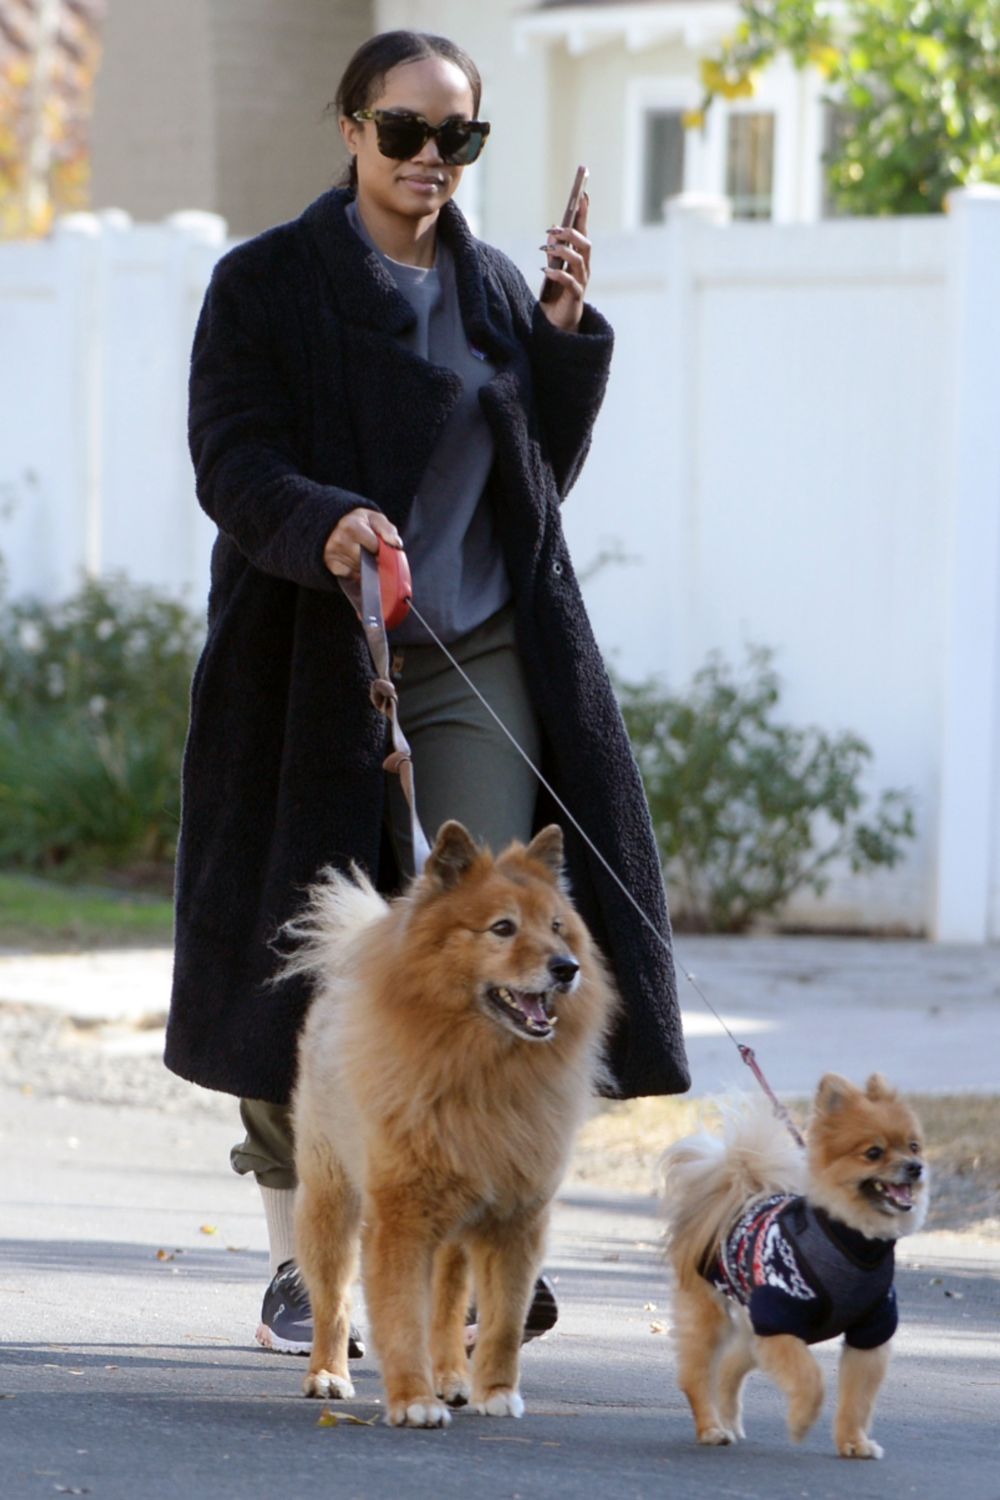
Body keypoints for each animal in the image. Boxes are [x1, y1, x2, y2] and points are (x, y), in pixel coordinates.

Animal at [283, 822, 617, 1428]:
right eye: (503, 928)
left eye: (557, 927)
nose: (566, 967)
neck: (479, 1071)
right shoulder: (399, 1219)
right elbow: (399, 1319)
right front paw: (413, 1401)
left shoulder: (515, 1220)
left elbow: (503, 1323)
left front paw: (496, 1392)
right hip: (330, 1201)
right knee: (333, 1300)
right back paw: (327, 1373)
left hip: (454, 1231)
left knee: (446, 1305)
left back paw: (452, 1377)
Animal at [665, 1074, 929, 1458]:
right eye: (874, 1153)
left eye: (913, 1146)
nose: (915, 1167)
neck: (851, 1241)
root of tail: (738, 1192)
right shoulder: (779, 1320)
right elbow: (811, 1377)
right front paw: (802, 1421)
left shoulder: (869, 1331)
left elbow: (857, 1400)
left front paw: (853, 1441)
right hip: (711, 1316)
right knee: (697, 1375)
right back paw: (712, 1428)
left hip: (751, 1327)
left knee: (729, 1366)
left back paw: (727, 1420)